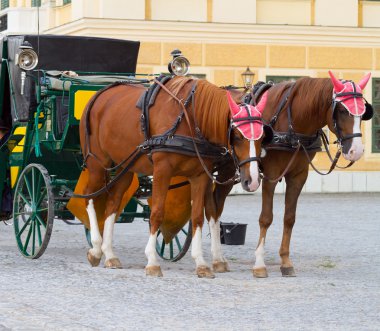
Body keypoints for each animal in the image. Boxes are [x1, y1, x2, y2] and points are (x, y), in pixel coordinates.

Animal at [80, 76, 268, 278]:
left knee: (112, 204)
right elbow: (157, 213)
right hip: (97, 165)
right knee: (89, 197)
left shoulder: (200, 176)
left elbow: (198, 216)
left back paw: (109, 253)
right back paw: (96, 248)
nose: (253, 181)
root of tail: (100, 94)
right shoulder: (162, 170)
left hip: (125, 168)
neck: (191, 118)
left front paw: (201, 263)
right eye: (238, 136)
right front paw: (152, 261)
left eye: (262, 137)